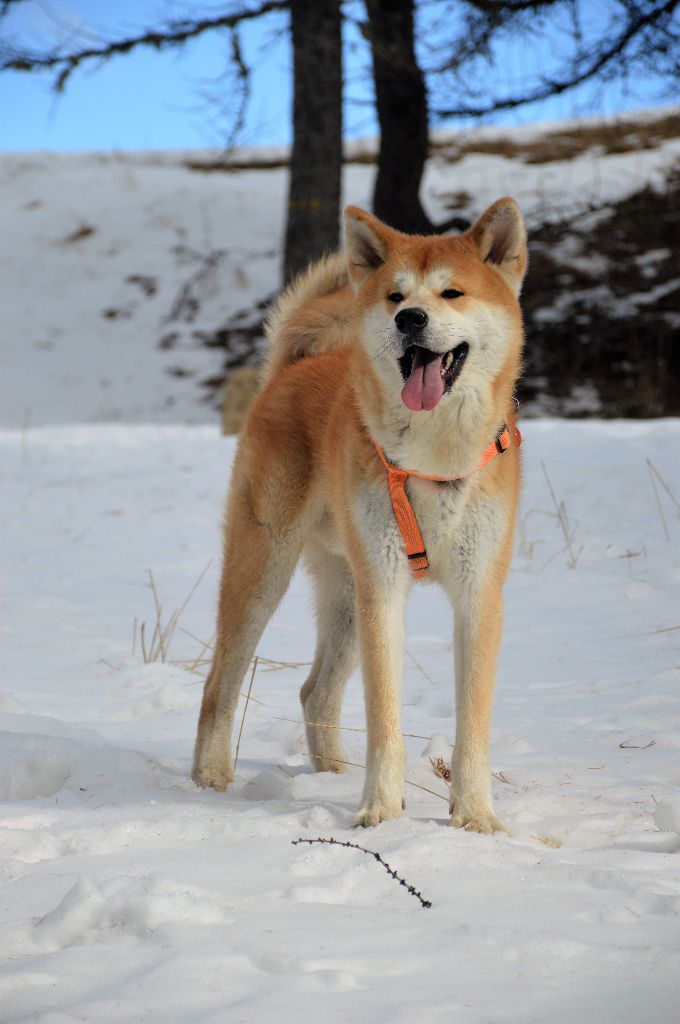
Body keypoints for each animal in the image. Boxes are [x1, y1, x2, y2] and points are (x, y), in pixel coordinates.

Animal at [192, 197, 527, 832]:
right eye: (396, 297)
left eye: (451, 292)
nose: (410, 319)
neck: (432, 460)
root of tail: (292, 368)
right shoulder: (385, 592)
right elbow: (384, 721)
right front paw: (380, 810)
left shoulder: (480, 595)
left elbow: (473, 727)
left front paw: (474, 817)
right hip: (267, 570)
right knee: (220, 680)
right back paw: (211, 778)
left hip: (348, 595)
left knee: (315, 692)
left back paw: (330, 777)